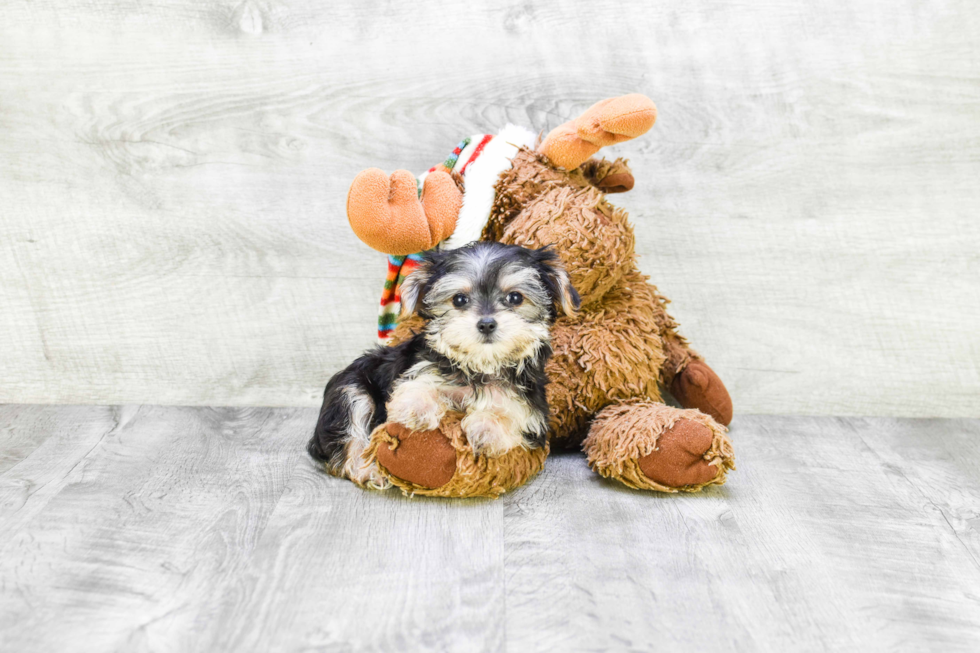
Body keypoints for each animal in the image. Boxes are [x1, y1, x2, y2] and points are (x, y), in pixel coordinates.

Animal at [310, 242, 580, 486]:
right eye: (459, 300)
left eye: (515, 297)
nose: (486, 323)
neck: (481, 366)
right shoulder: (419, 367)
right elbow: (419, 383)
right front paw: (416, 407)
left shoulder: (534, 412)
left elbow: (514, 414)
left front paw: (488, 427)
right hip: (349, 388)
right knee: (350, 436)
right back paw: (369, 471)